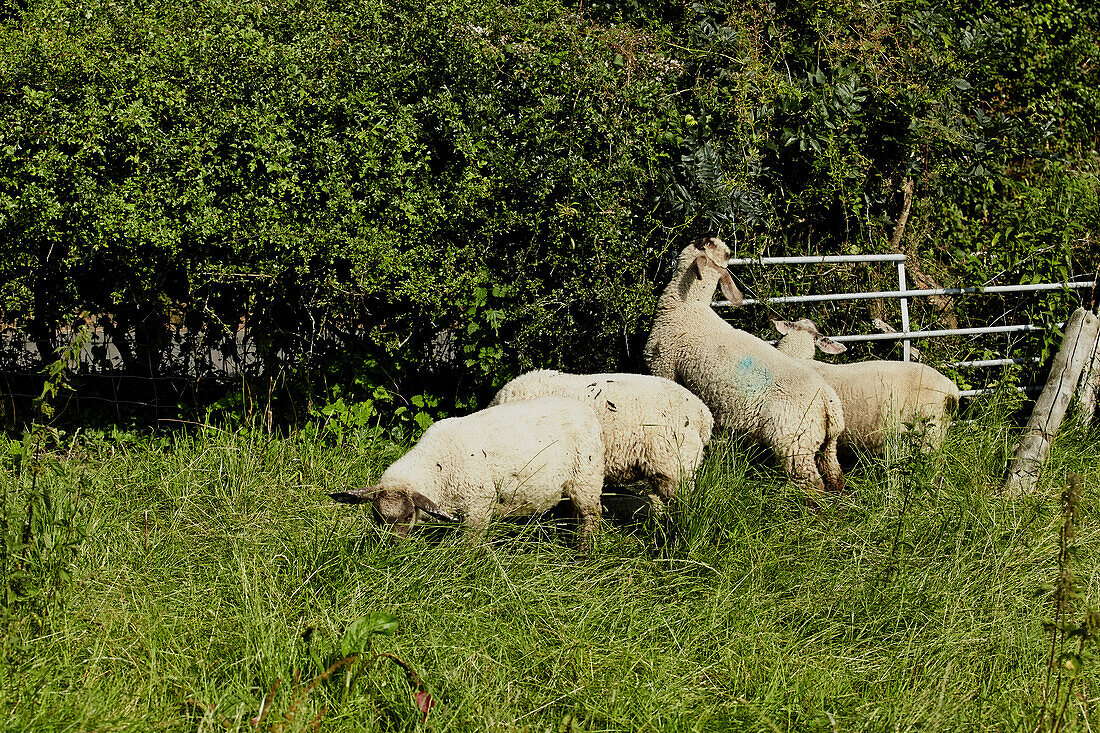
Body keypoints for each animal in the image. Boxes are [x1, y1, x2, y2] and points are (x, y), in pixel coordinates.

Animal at [325, 394, 607, 541]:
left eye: (407, 517)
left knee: (591, 518)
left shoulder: (479, 507)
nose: (390, 546)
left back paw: (584, 554)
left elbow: (470, 547)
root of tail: (584, 408)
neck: (438, 465)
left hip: (587, 479)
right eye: (377, 516)